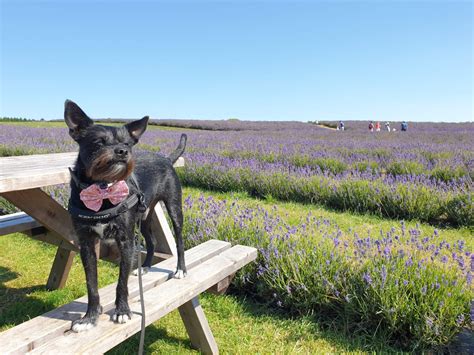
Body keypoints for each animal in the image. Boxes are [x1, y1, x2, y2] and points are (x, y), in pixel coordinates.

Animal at [65, 98, 187, 332]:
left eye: (128, 143)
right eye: (99, 142)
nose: (122, 151)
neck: (103, 189)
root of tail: (167, 159)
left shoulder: (125, 240)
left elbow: (122, 281)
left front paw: (122, 311)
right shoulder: (86, 243)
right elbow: (91, 284)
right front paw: (89, 317)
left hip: (174, 209)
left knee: (179, 240)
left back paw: (181, 270)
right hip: (146, 216)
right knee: (151, 240)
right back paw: (145, 267)